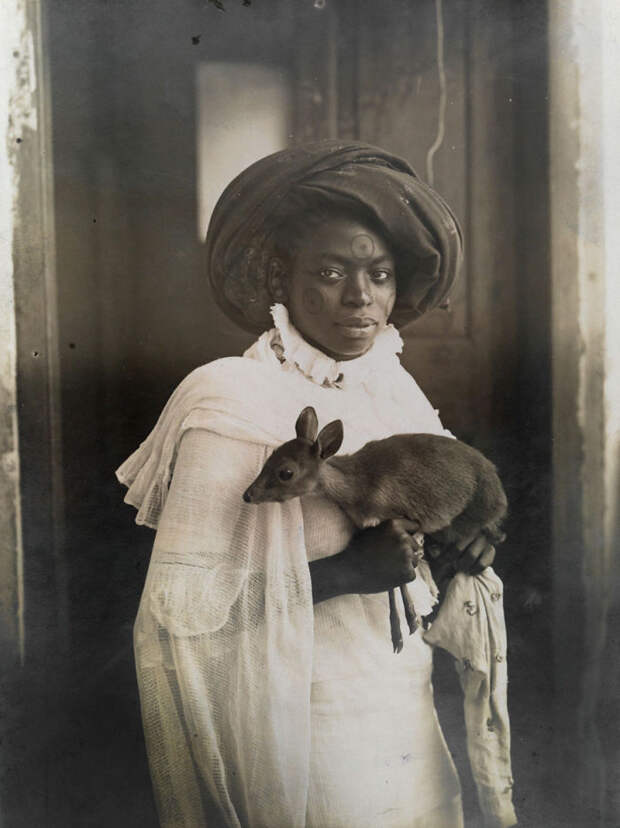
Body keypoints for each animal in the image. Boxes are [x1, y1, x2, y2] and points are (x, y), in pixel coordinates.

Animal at [240, 408, 506, 652]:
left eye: (286, 472)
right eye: (270, 457)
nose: (247, 495)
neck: (358, 489)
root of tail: (501, 494)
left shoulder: (400, 519)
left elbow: (399, 581)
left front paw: (408, 623)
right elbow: (393, 583)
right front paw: (402, 629)